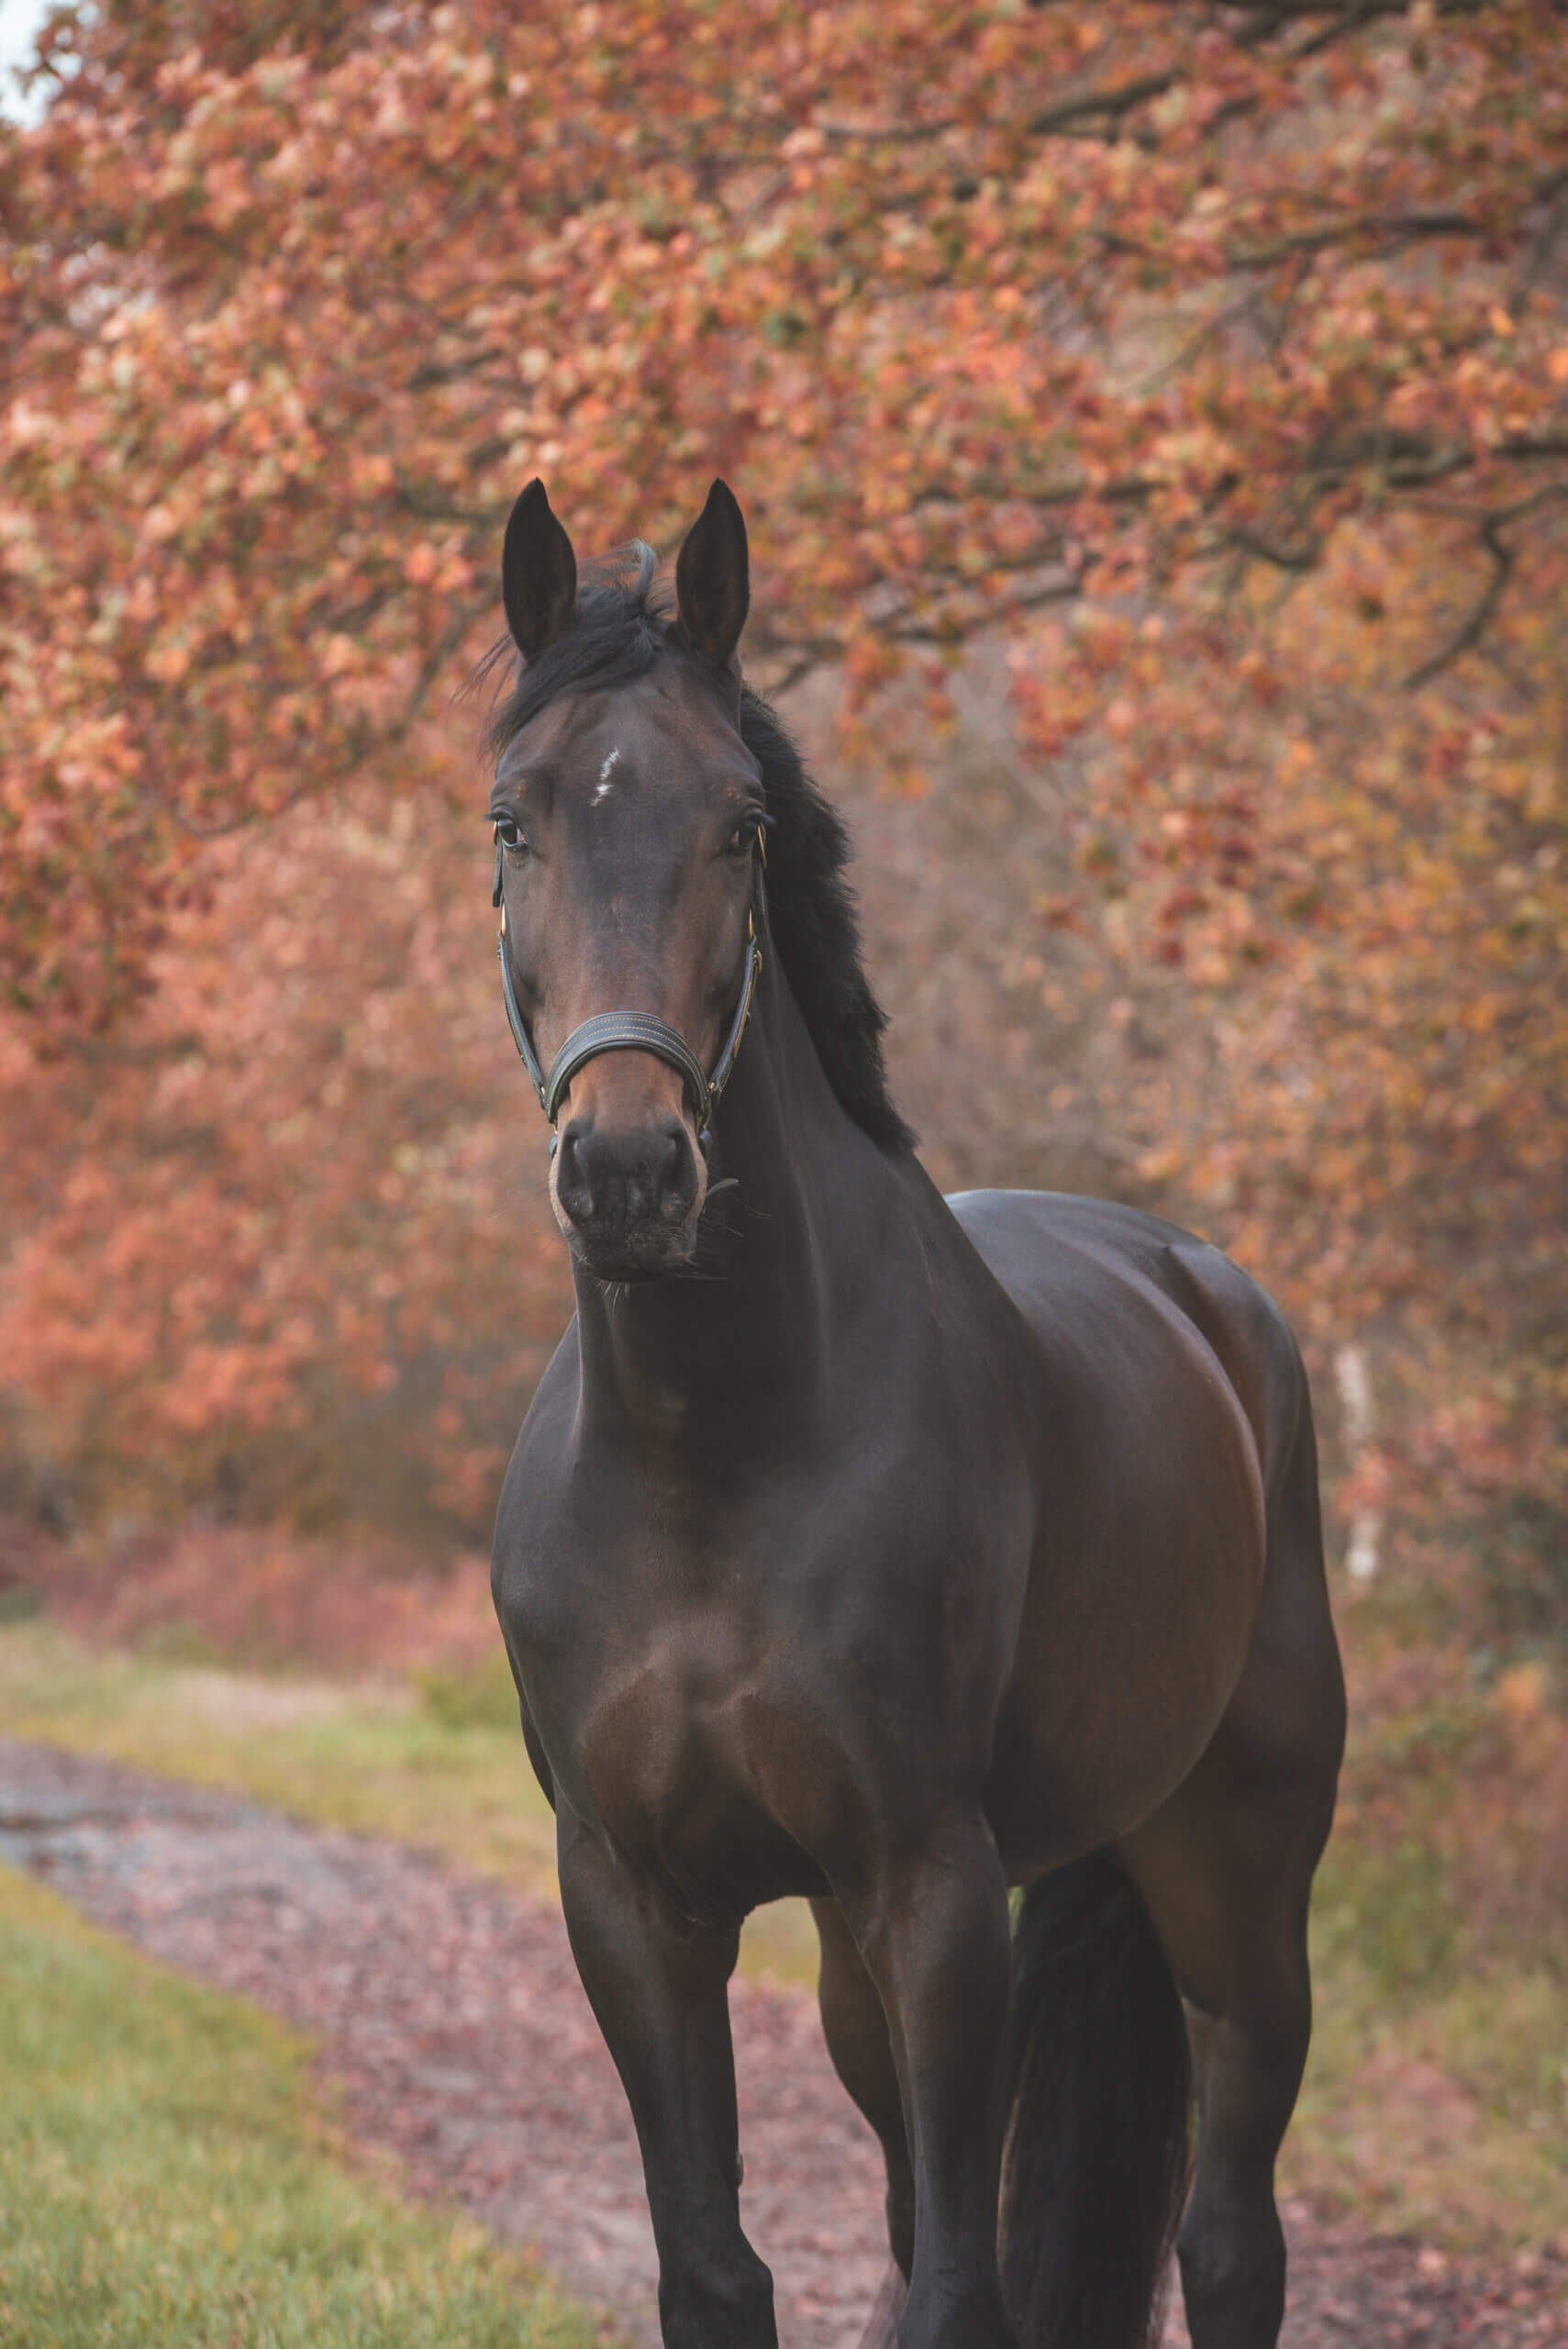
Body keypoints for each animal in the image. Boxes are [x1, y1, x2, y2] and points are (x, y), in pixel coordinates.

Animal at [485, 477, 1346, 2349]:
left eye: (740, 825)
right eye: (513, 823)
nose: (628, 1172)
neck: (716, 1453)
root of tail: (1209, 1298)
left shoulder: (934, 1888)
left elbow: (963, 2279)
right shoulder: (635, 1903)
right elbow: (720, 2266)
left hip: (1235, 1891)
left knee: (1229, 2241)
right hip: (857, 1961)